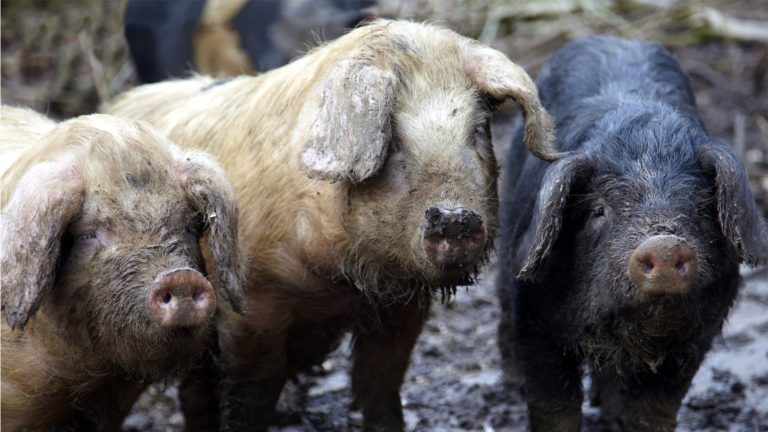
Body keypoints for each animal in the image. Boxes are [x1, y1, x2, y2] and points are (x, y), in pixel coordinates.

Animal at [104, 19, 559, 431]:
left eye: (478, 131)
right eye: (393, 140)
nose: (455, 217)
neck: (346, 285)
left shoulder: (404, 309)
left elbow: (381, 385)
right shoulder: (251, 308)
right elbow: (251, 396)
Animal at [496, 35, 768, 432]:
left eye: (703, 208)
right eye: (599, 211)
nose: (665, 244)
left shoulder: (697, 337)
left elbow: (654, 408)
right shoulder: (536, 319)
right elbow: (554, 406)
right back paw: (513, 384)